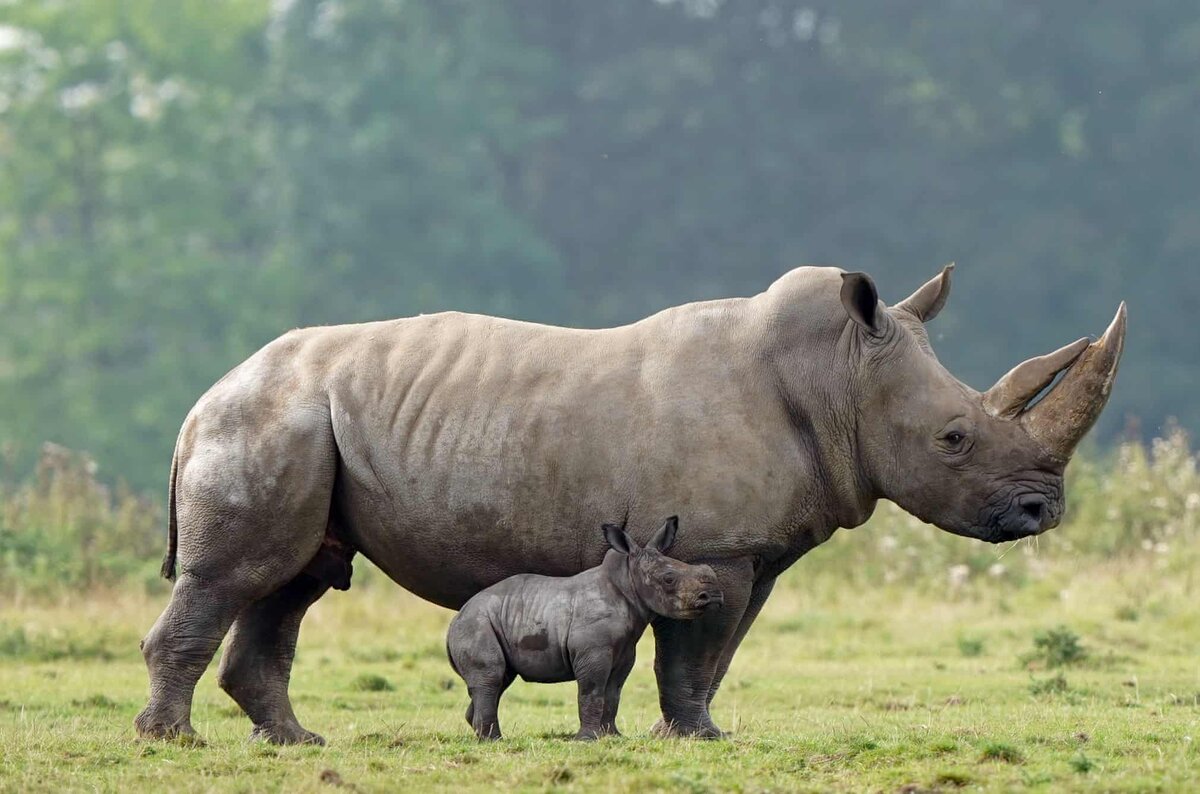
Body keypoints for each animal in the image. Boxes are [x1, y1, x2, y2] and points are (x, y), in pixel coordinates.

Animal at [444, 520, 715, 743]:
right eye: (669, 579)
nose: (710, 597)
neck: (627, 581)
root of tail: (454, 621)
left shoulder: (625, 651)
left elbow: (613, 693)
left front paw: (612, 736)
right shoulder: (593, 650)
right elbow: (591, 691)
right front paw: (587, 740)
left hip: (486, 623)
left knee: (500, 679)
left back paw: (482, 733)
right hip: (475, 625)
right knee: (491, 677)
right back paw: (494, 741)